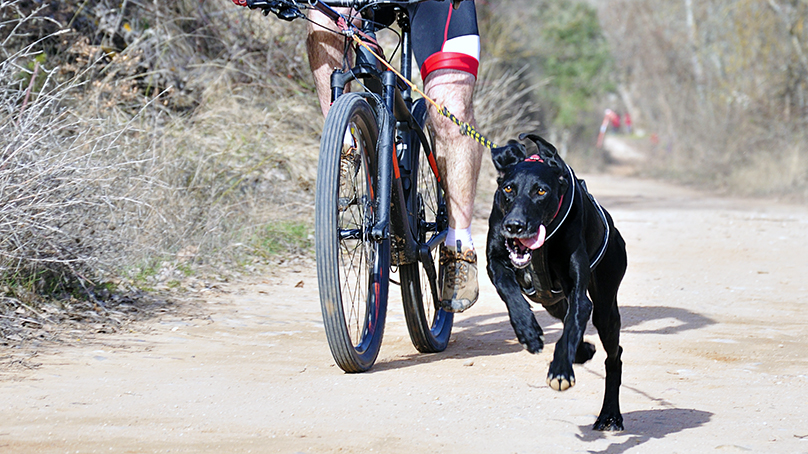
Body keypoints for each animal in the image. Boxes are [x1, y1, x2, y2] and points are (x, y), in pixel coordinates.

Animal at [482, 133, 628, 430]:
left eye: (541, 191)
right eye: (508, 189)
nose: (514, 226)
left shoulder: (579, 295)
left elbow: (571, 328)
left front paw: (561, 371)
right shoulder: (496, 262)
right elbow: (509, 291)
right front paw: (527, 331)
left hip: (605, 308)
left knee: (613, 356)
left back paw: (610, 414)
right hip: (552, 301)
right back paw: (583, 351)